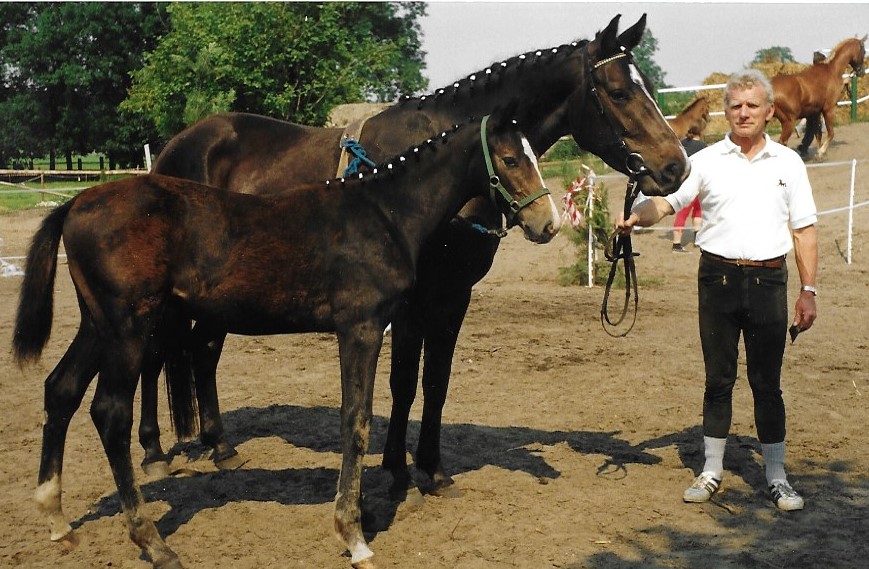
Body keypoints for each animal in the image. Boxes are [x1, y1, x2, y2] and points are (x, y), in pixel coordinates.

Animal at [13, 112, 564, 568]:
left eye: (537, 155)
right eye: (511, 159)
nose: (548, 224)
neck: (384, 212)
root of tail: (75, 203)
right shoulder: (362, 328)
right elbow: (356, 420)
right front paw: (354, 536)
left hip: (97, 325)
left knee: (61, 389)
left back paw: (57, 520)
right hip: (128, 327)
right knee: (110, 413)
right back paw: (153, 541)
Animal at [141, 14, 684, 496]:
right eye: (620, 92)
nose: (675, 167)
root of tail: (174, 149)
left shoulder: (455, 295)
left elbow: (435, 381)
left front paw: (433, 470)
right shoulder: (408, 300)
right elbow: (403, 380)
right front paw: (399, 471)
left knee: (202, 350)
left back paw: (220, 446)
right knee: (155, 356)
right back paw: (153, 452)